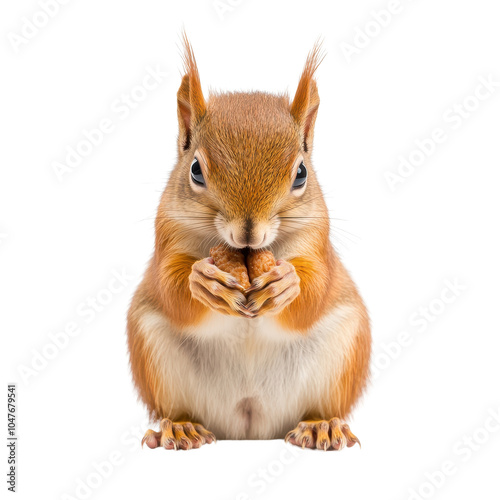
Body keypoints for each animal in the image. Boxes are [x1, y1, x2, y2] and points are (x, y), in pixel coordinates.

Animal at [129, 33, 372, 452]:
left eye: (301, 174)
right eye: (196, 170)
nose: (248, 232)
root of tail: (249, 428)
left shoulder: (316, 239)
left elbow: (317, 287)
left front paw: (286, 283)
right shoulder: (168, 232)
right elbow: (169, 285)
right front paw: (202, 281)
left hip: (341, 355)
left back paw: (320, 426)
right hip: (154, 355)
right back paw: (182, 427)